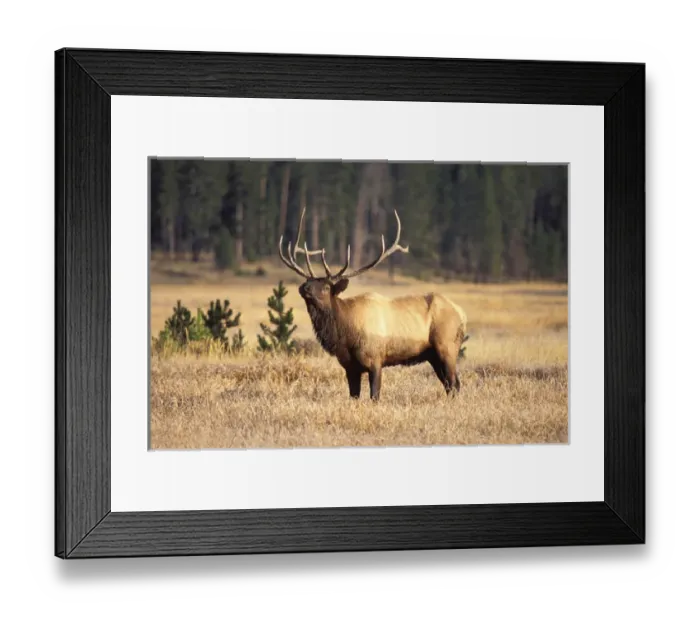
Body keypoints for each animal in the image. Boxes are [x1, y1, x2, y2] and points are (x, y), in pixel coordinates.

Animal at [279, 208, 468, 401]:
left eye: (325, 287)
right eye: (308, 281)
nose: (305, 288)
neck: (345, 335)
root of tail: (462, 314)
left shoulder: (375, 360)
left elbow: (374, 396)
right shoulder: (350, 367)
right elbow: (354, 396)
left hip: (447, 347)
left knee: (454, 383)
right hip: (433, 355)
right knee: (449, 384)